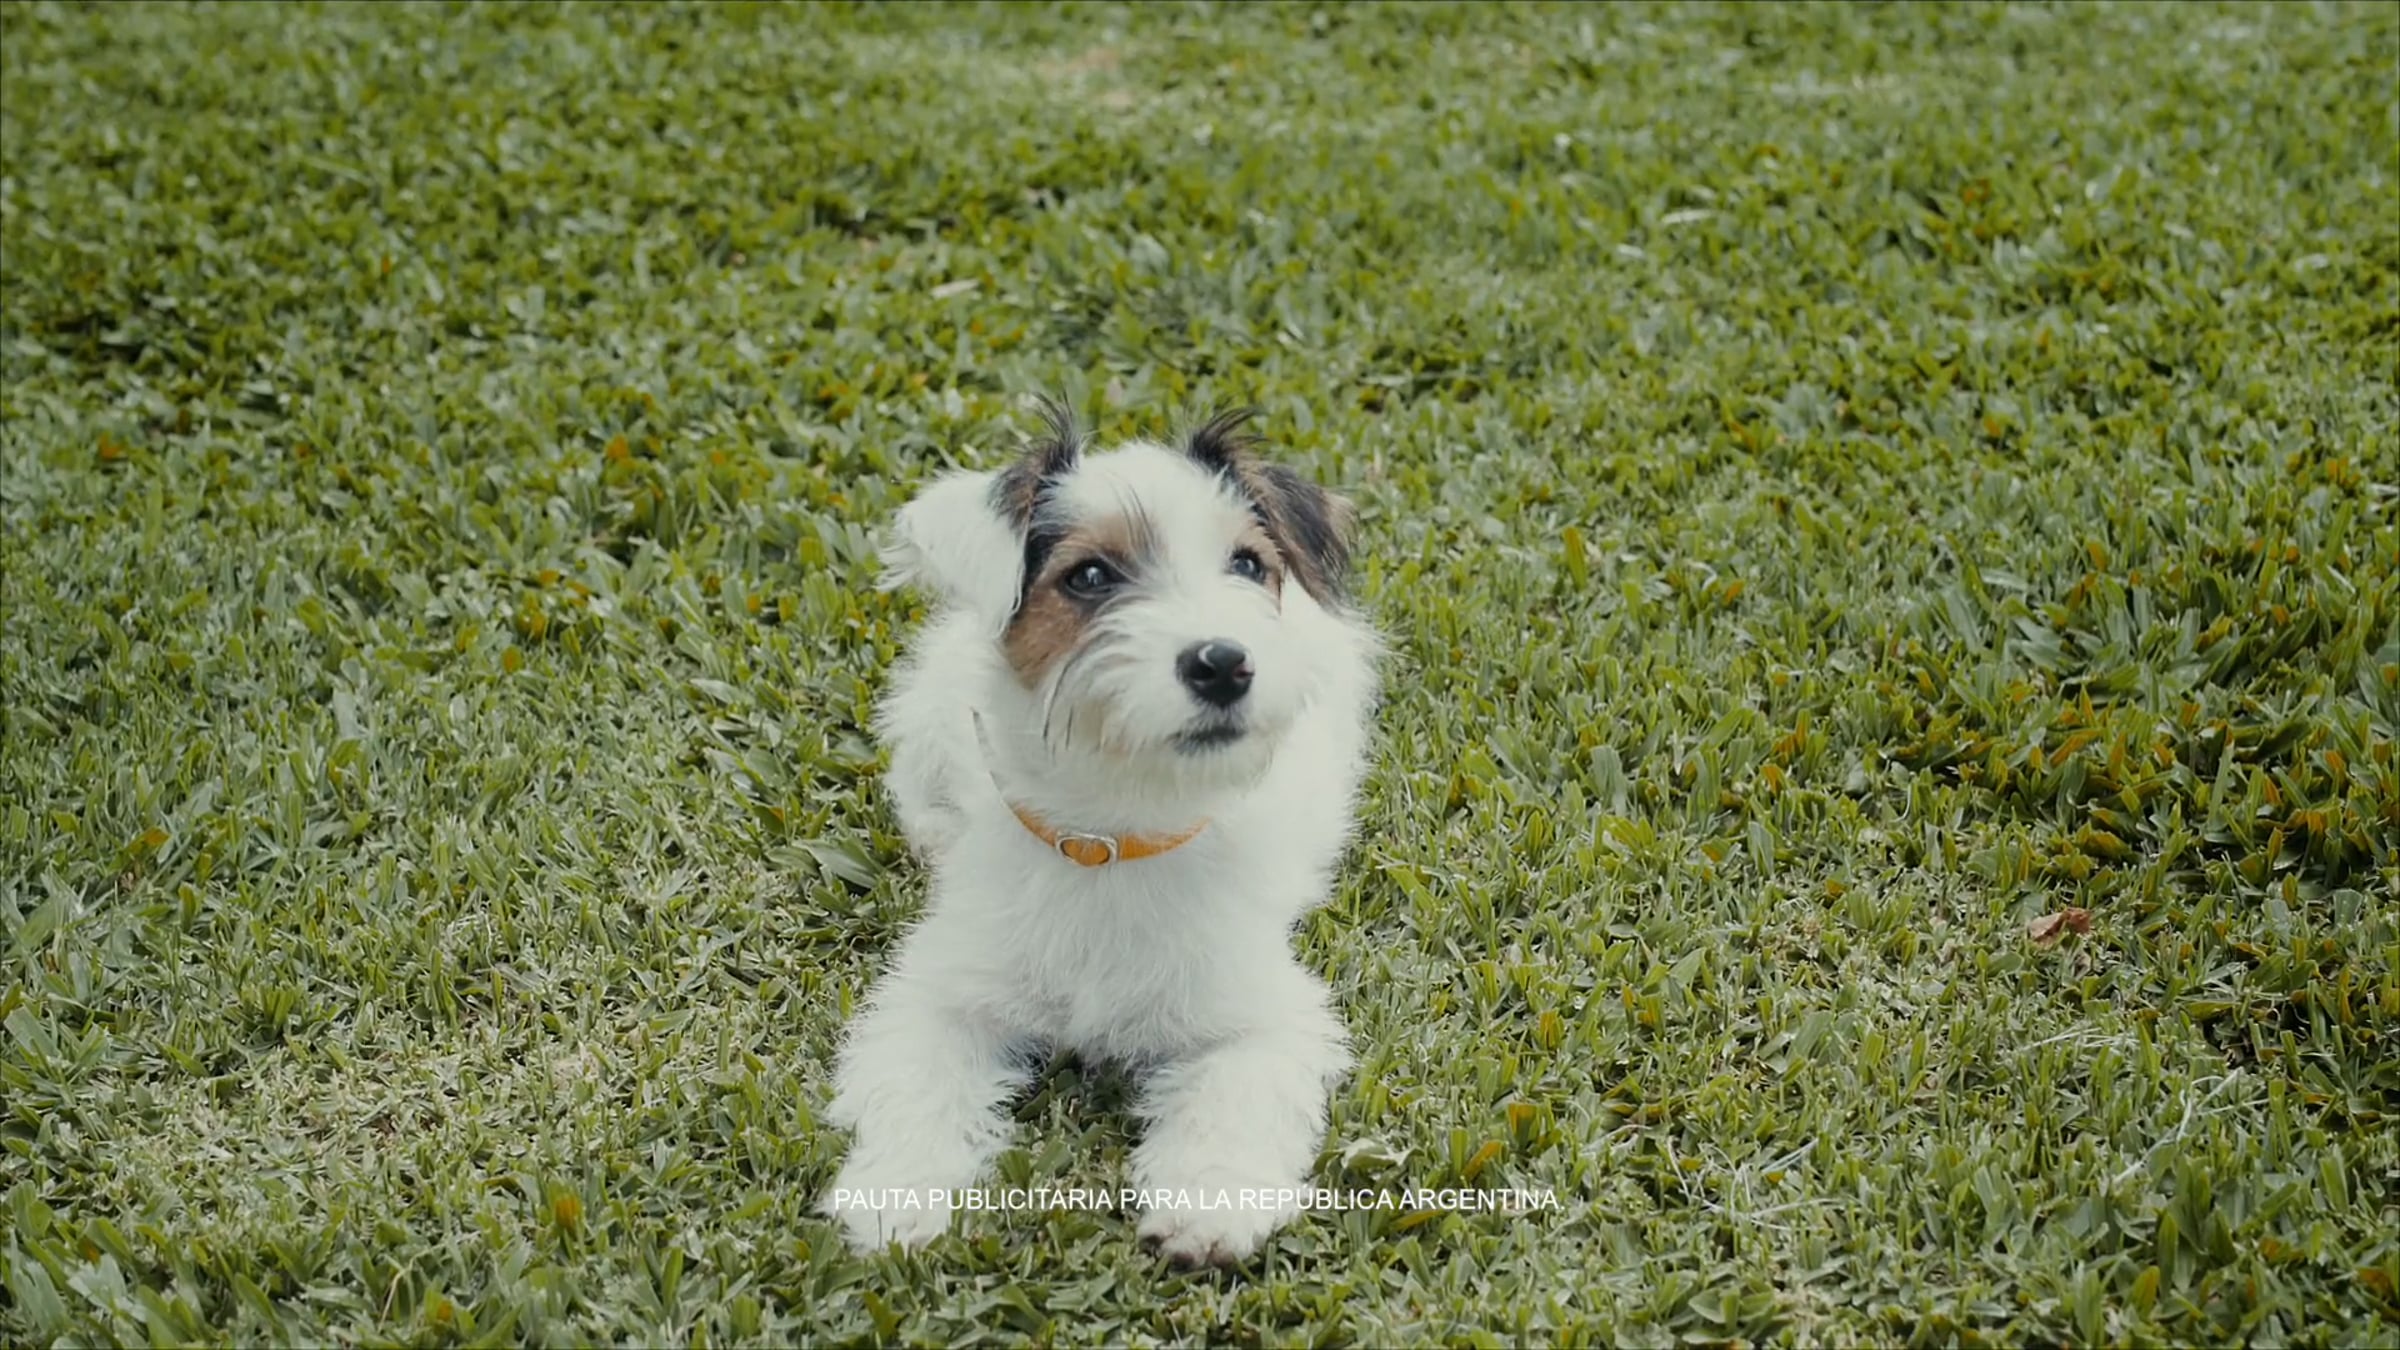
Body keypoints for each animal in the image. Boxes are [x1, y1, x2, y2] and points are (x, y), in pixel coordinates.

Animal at [820, 401, 1378, 1267]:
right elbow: (918, 1086)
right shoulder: (940, 995)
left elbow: (1234, 1097)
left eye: (1248, 565)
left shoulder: (1261, 1016)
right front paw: (899, 1196)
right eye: (1088, 577)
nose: (1224, 663)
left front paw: (1209, 1201)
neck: (1111, 837)